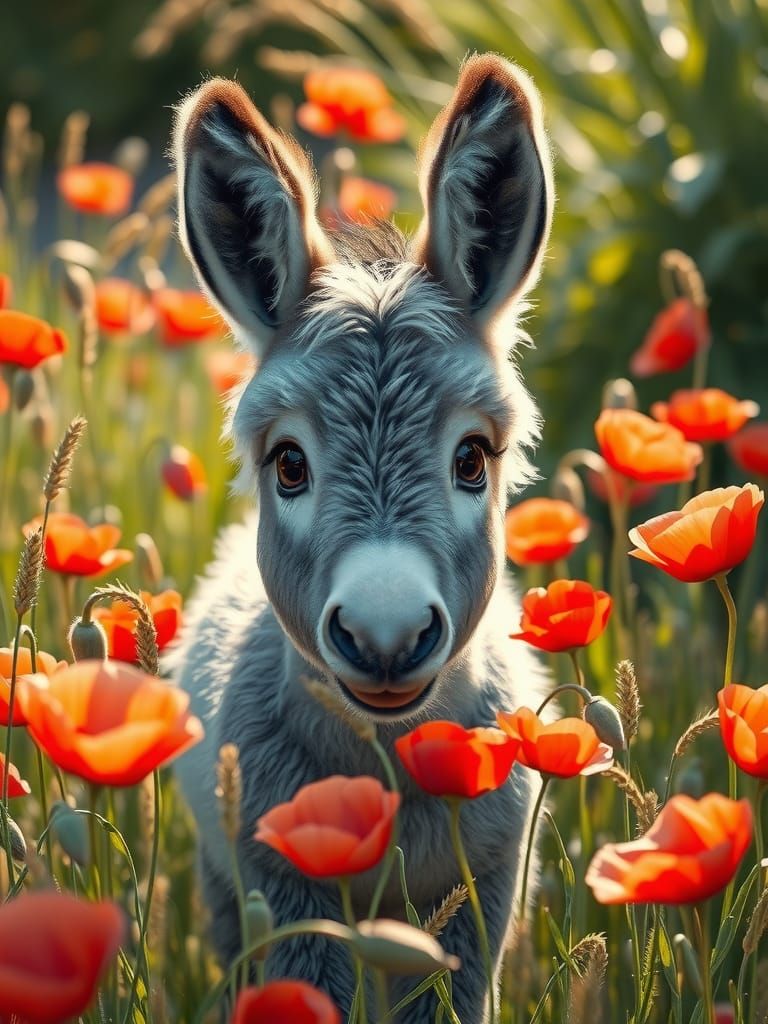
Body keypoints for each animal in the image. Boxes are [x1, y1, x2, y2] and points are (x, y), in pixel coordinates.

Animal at [170, 53, 553, 1023]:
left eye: (472, 457)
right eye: (289, 464)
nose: (386, 637)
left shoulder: (479, 892)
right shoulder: (284, 887)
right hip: (223, 881)